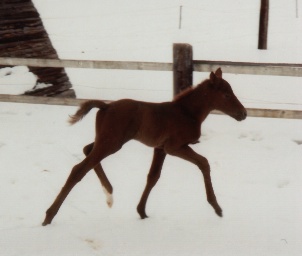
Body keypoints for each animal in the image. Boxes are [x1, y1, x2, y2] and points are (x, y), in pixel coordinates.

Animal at [42, 68, 245, 226]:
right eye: (226, 95)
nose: (243, 113)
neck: (187, 113)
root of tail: (105, 106)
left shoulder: (160, 149)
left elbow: (153, 177)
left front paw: (141, 211)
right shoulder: (174, 147)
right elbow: (204, 163)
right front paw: (217, 208)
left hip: (107, 140)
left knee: (87, 150)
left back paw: (109, 191)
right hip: (112, 143)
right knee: (79, 169)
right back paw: (49, 216)